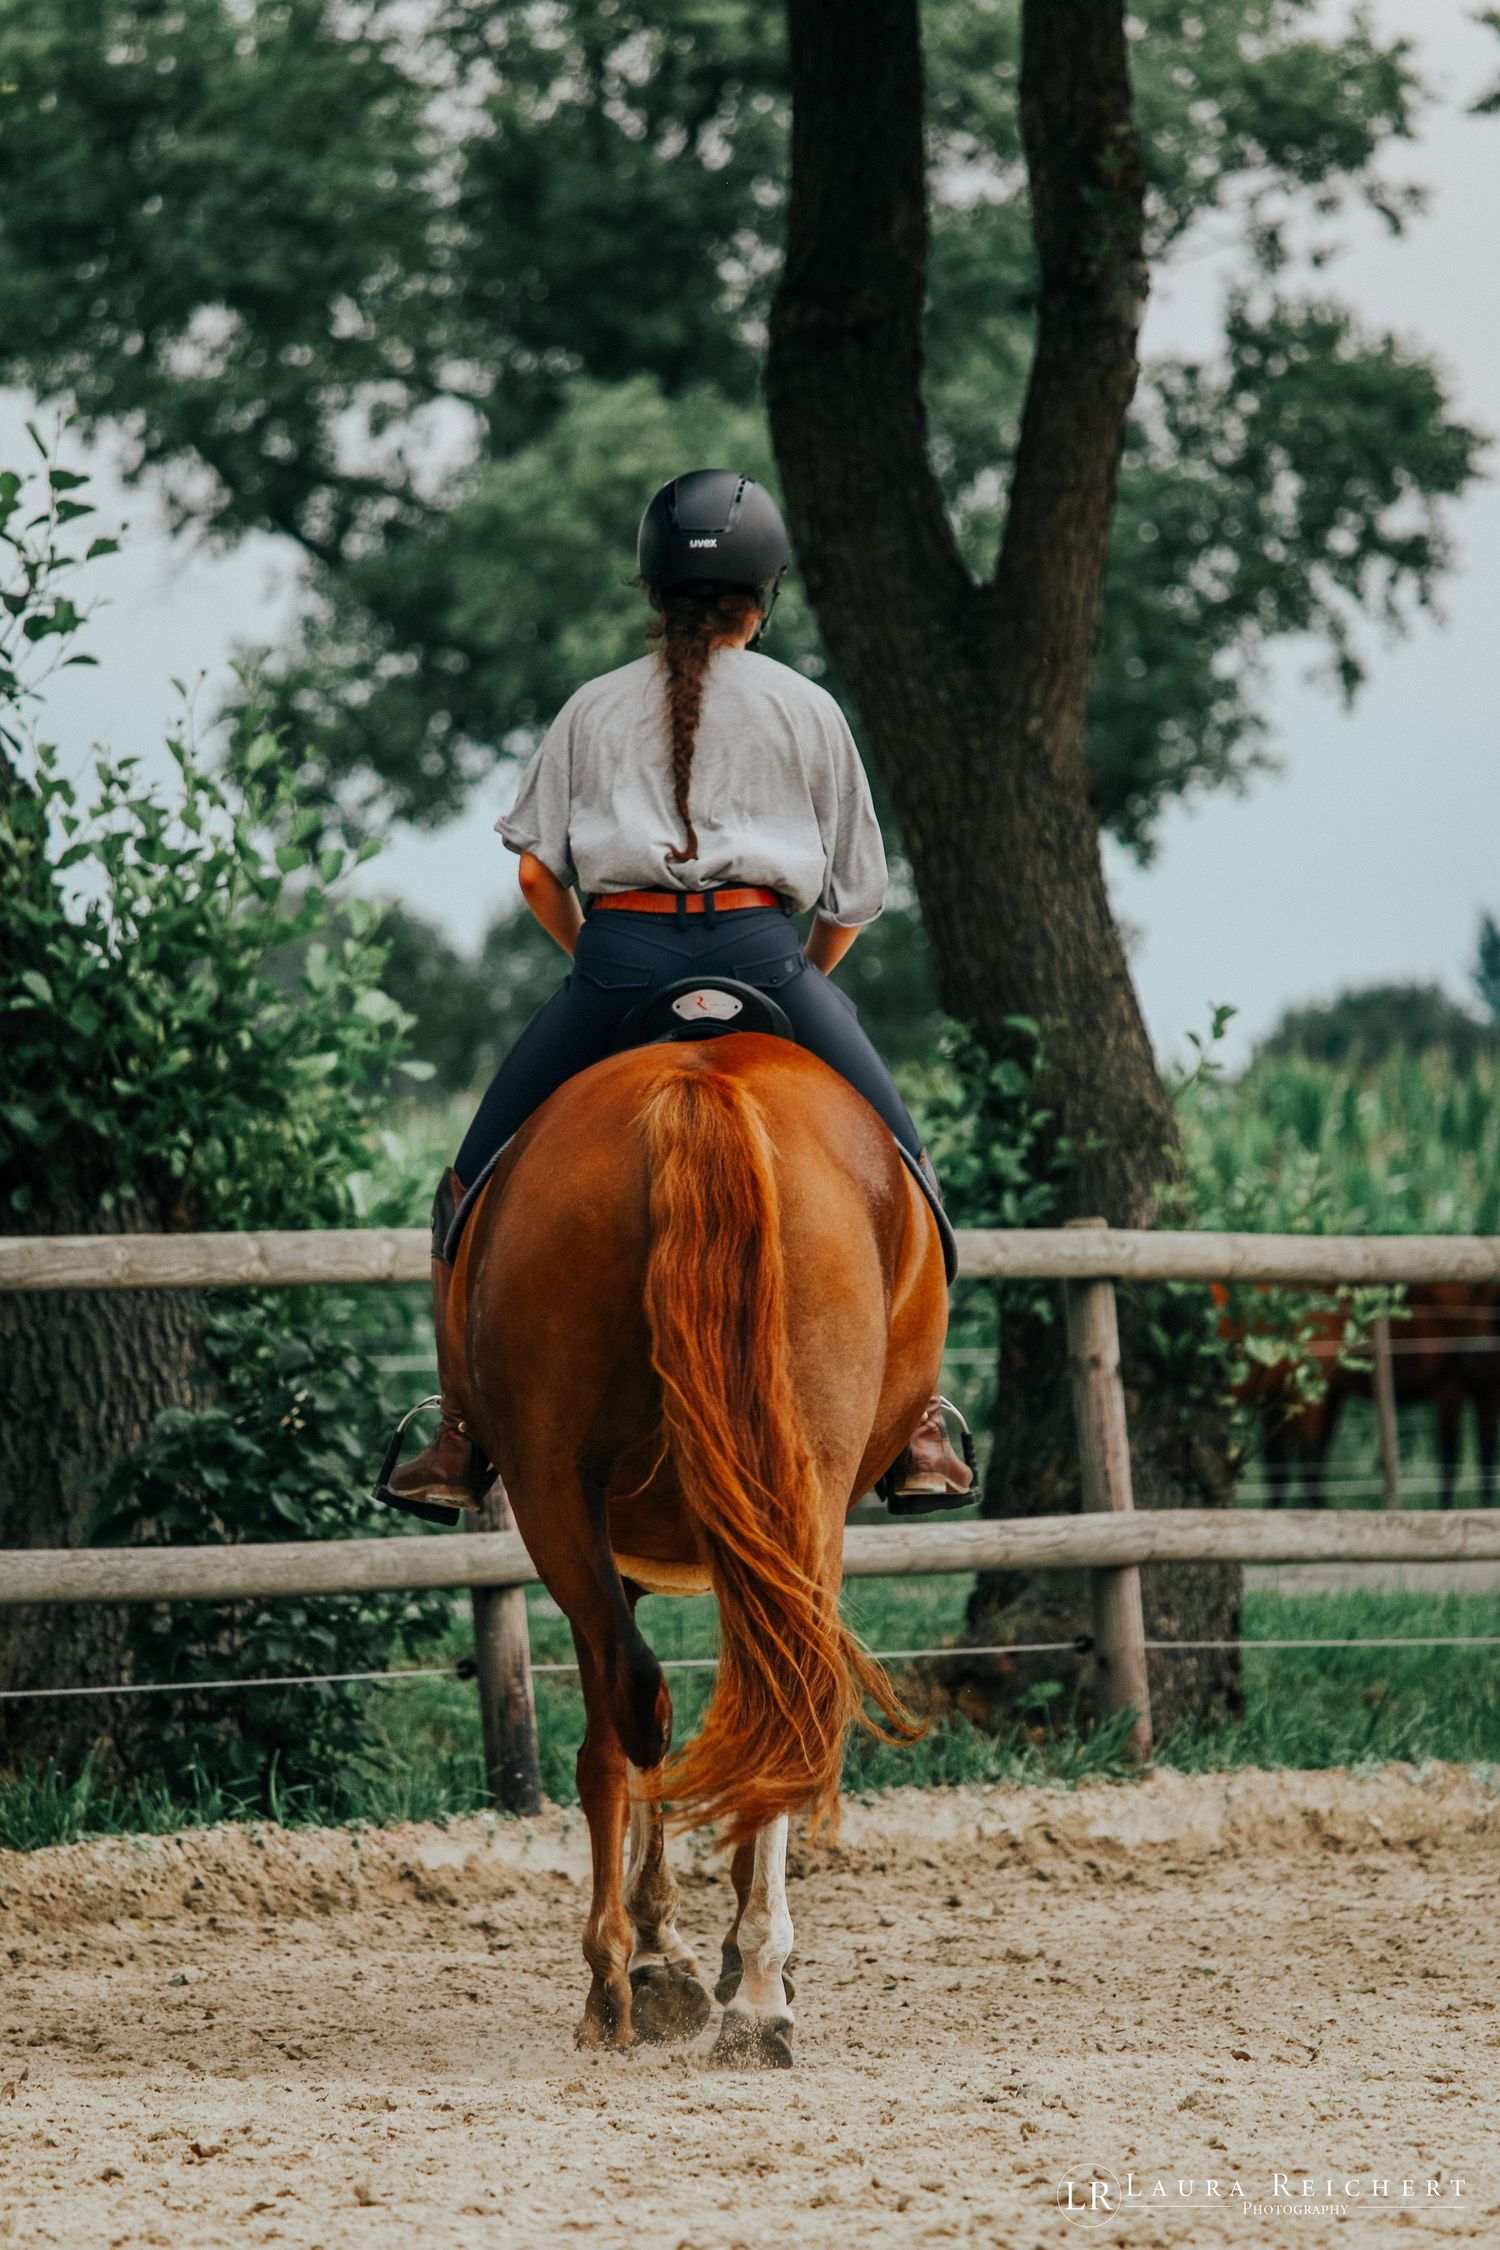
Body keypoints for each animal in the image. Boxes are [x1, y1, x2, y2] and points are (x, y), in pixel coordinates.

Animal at [444, 1030, 948, 2064]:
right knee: (763, 1694)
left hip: (559, 1496)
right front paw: (703, 1958)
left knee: (641, 1701)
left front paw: (654, 1956)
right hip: (788, 1495)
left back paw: (630, 1981)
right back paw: (753, 1992)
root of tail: (698, 1078)